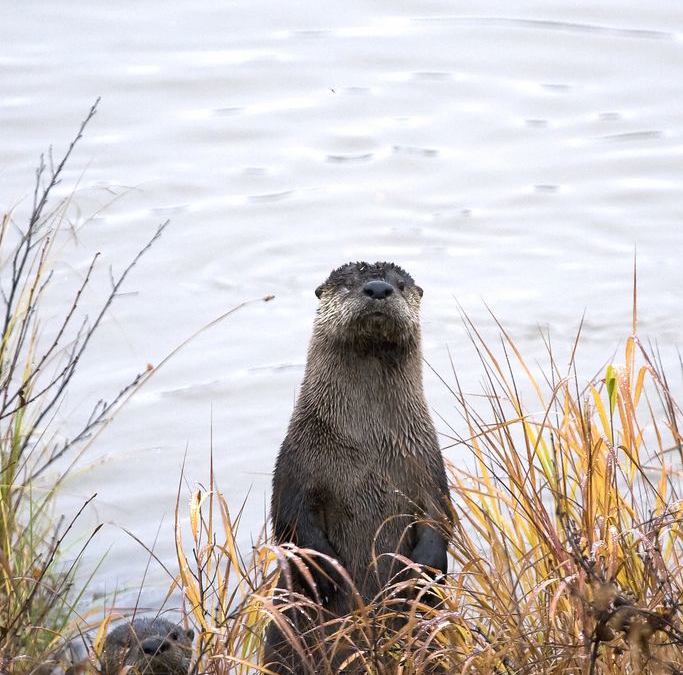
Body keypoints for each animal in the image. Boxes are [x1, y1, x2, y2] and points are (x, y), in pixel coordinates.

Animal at [266, 262, 454, 672]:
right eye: (349, 283)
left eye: (401, 285)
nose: (379, 288)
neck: (367, 448)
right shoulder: (295, 465)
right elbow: (290, 517)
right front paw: (327, 572)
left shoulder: (427, 464)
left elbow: (441, 515)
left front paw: (422, 572)